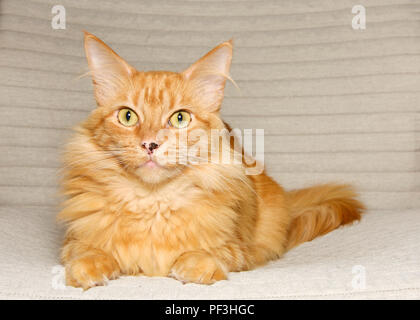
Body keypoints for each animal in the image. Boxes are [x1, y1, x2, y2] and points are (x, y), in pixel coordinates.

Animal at [59, 32, 364, 290]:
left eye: (180, 118)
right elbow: (85, 252)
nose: (150, 144)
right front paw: (89, 267)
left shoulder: (238, 249)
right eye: (127, 116)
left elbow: (210, 255)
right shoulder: (71, 241)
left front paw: (193, 265)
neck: (152, 202)